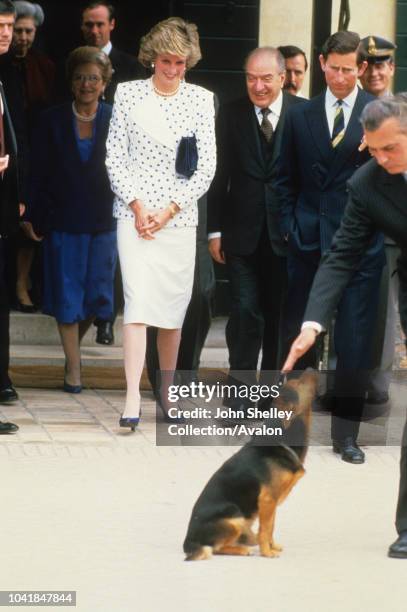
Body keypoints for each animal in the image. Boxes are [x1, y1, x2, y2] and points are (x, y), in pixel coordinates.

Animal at [183, 370, 320, 560]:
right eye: (298, 383)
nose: (310, 368)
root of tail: (188, 542)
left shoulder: (272, 502)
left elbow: (271, 527)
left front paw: (272, 546)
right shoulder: (268, 499)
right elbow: (265, 529)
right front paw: (267, 552)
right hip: (234, 518)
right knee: (216, 548)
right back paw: (242, 549)